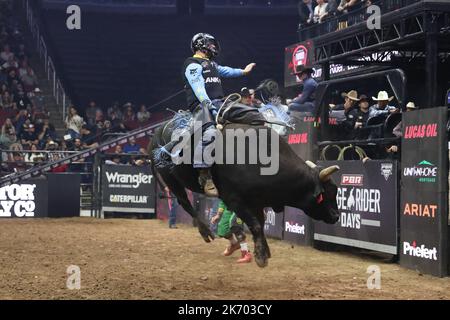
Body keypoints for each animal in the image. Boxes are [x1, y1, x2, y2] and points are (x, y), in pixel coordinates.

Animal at [149, 122, 340, 268]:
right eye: (329, 193)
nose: (336, 216)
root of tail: (158, 132)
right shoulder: (234, 200)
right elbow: (254, 225)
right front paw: (261, 257)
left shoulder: (257, 202)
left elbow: (260, 224)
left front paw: (263, 251)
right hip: (170, 177)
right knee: (184, 201)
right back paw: (205, 230)